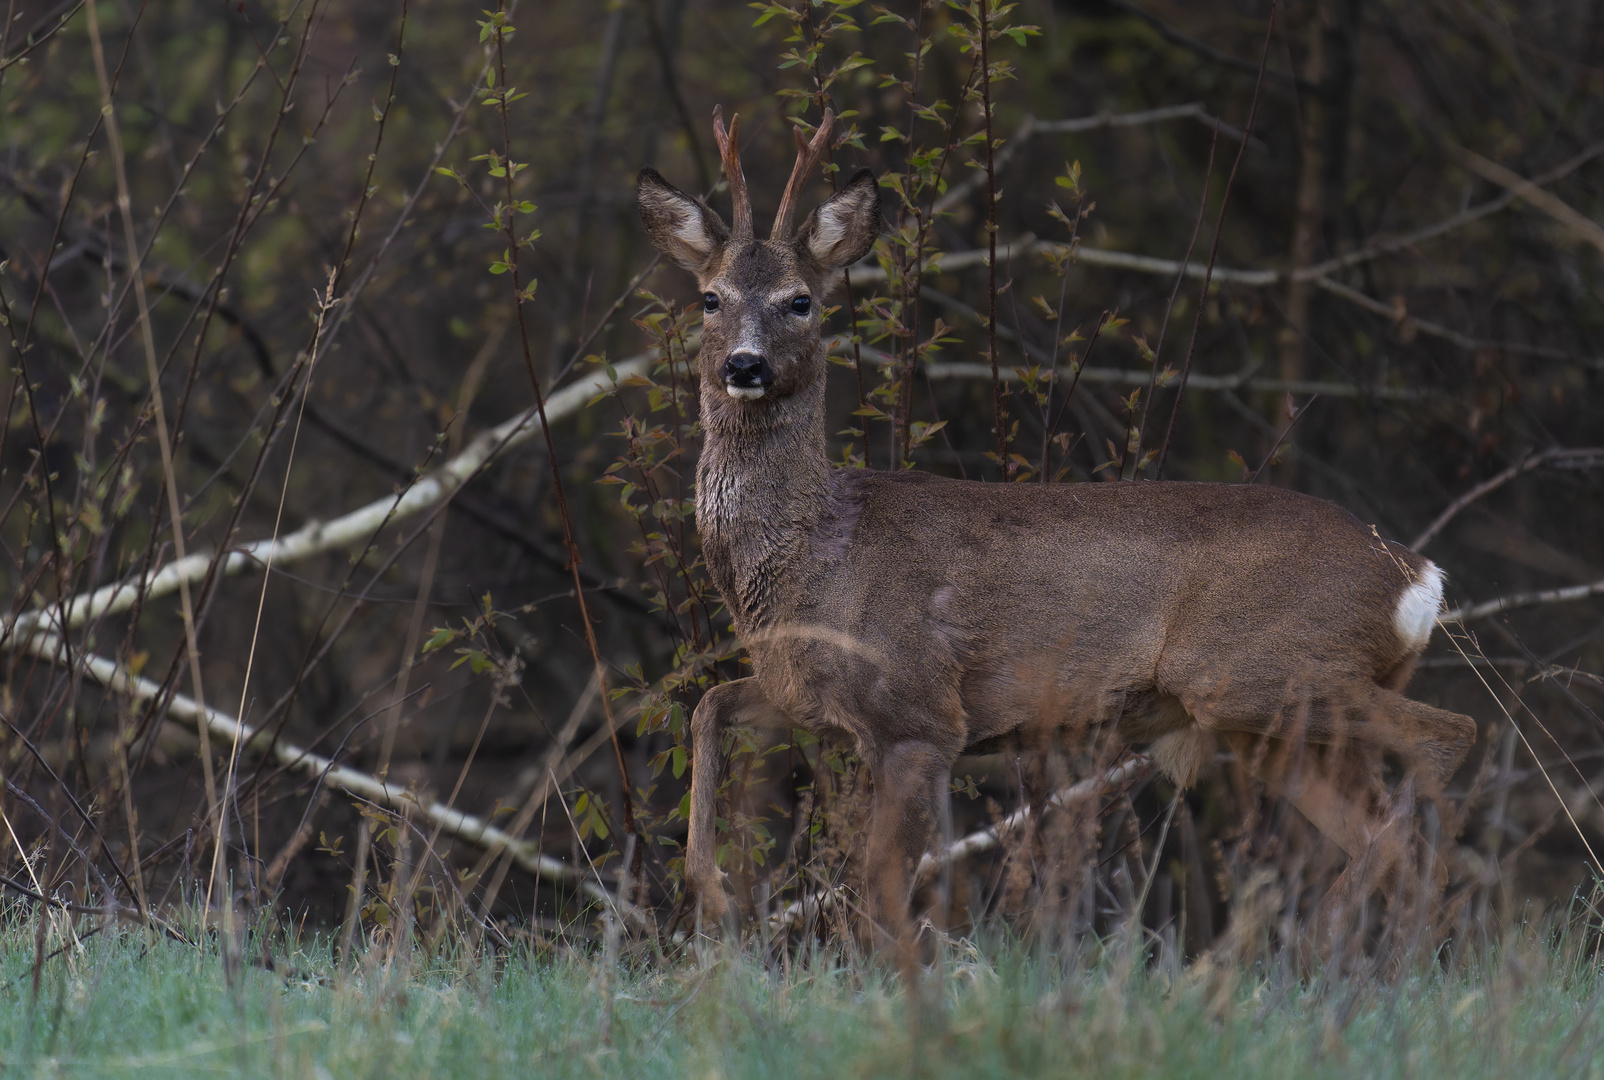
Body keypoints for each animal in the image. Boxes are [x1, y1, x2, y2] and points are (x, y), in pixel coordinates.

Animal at [638, 107, 1475, 937]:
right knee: (1393, 832)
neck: (813, 558)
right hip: (1277, 721)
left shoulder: (921, 710)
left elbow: (883, 883)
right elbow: (708, 706)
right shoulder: (803, 695)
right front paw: (712, 888)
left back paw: (1308, 940)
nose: (744, 366)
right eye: (710, 297)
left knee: (1443, 742)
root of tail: (1417, 574)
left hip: (1260, 669)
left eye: (800, 300)